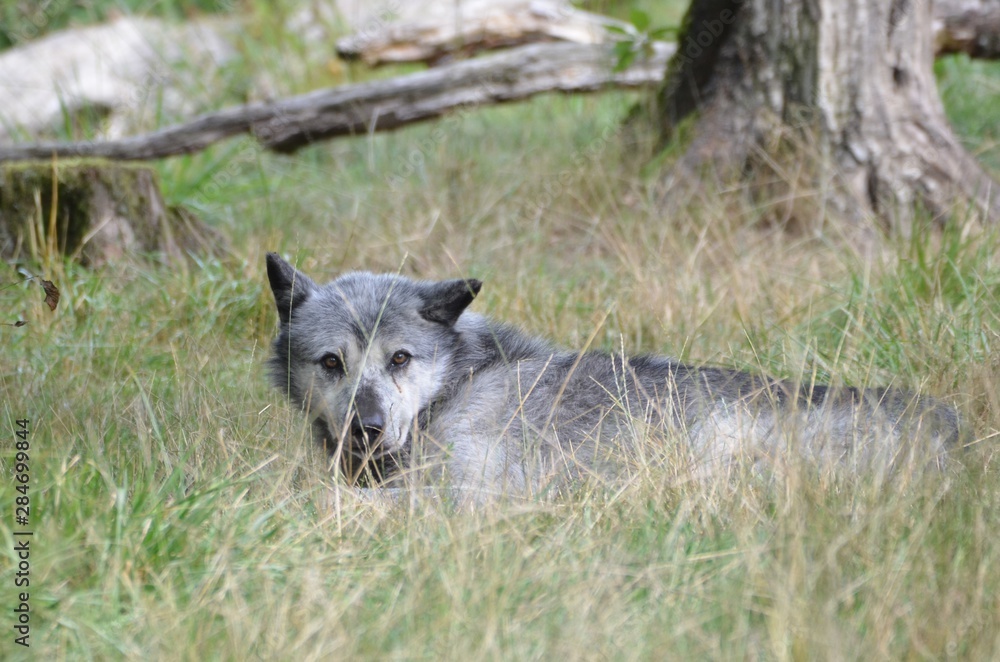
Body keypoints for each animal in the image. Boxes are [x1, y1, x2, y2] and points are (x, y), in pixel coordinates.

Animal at [266, 253, 962, 499]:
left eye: (400, 359)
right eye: (332, 363)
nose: (366, 428)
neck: (462, 383)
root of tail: (952, 427)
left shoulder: (471, 497)